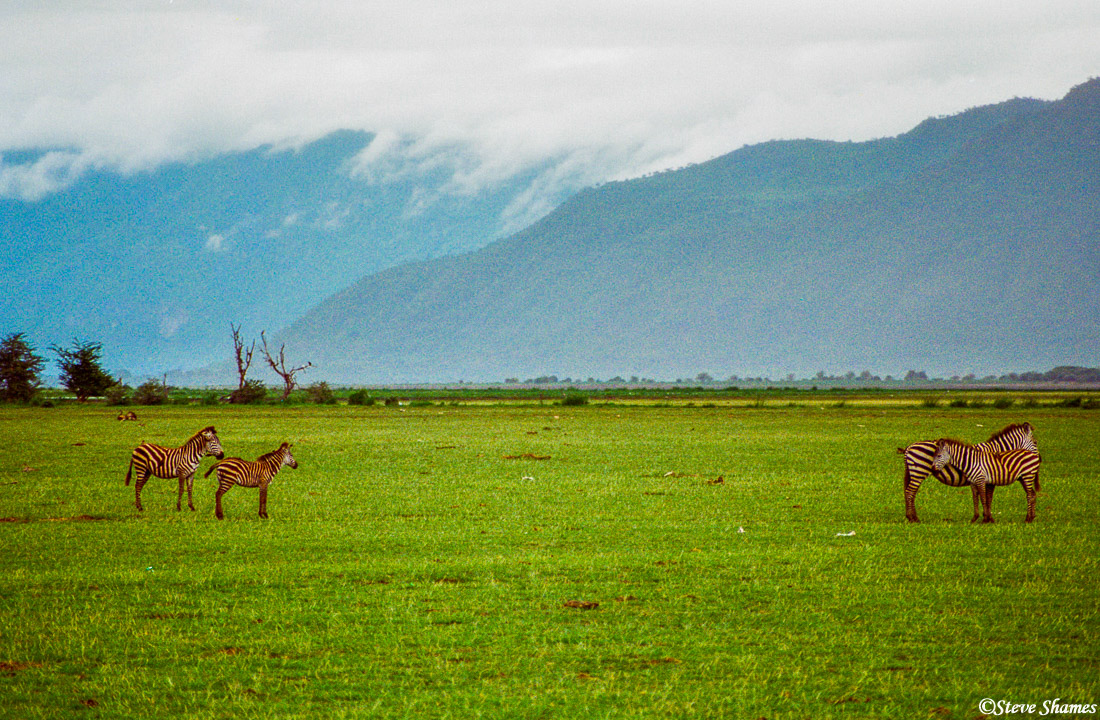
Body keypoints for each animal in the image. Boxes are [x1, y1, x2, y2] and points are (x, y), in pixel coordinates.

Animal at [897, 422, 1034, 523]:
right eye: (1035, 442)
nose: (1036, 456)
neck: (995, 452)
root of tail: (909, 447)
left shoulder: (980, 479)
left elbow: (978, 497)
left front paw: (979, 517)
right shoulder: (989, 479)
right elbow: (988, 498)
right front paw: (989, 518)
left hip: (913, 473)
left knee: (909, 493)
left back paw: (911, 517)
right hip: (918, 472)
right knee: (910, 492)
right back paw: (913, 518)